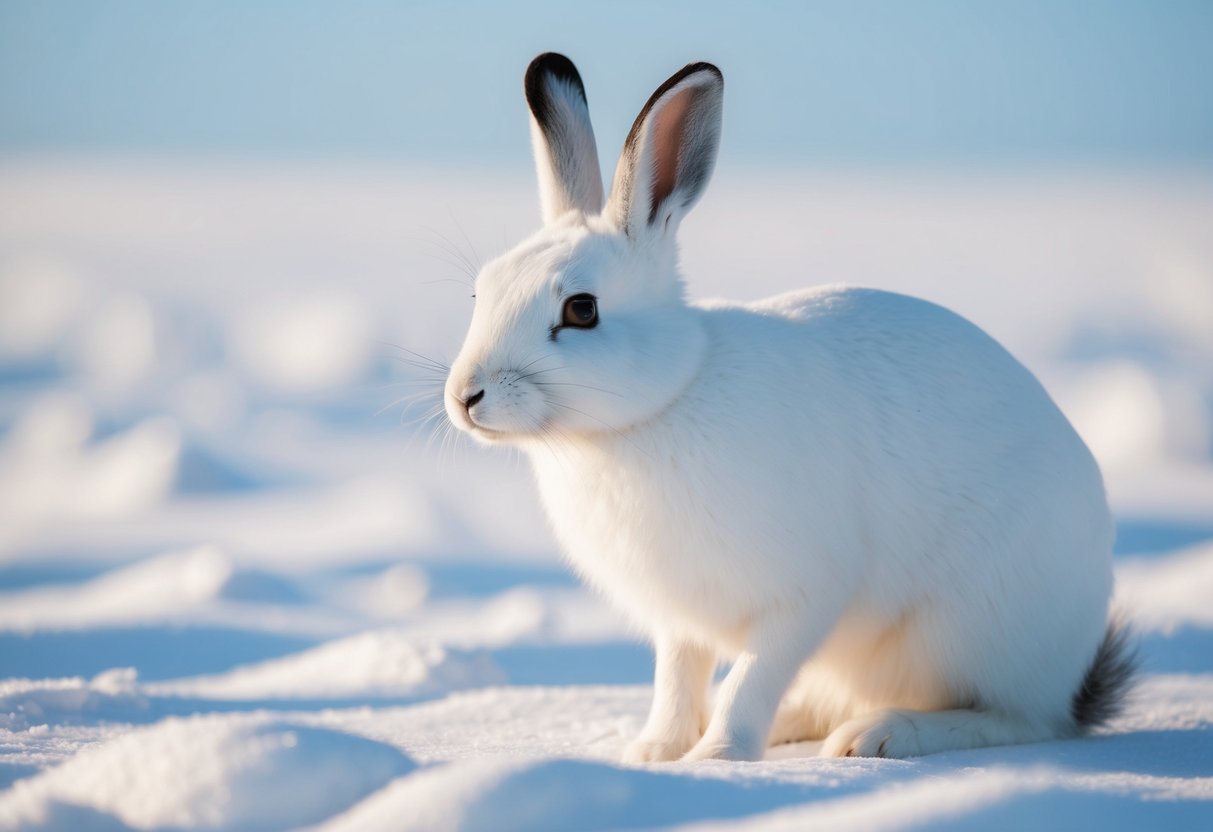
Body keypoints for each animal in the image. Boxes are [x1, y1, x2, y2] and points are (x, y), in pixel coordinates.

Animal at [442, 52, 1134, 762]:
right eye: (481, 290)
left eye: (581, 310)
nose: (466, 397)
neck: (660, 404)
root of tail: (1076, 668)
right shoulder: (680, 621)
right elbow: (677, 681)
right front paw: (655, 754)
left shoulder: (802, 595)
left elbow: (752, 676)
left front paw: (719, 756)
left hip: (972, 625)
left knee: (1017, 719)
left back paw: (878, 735)